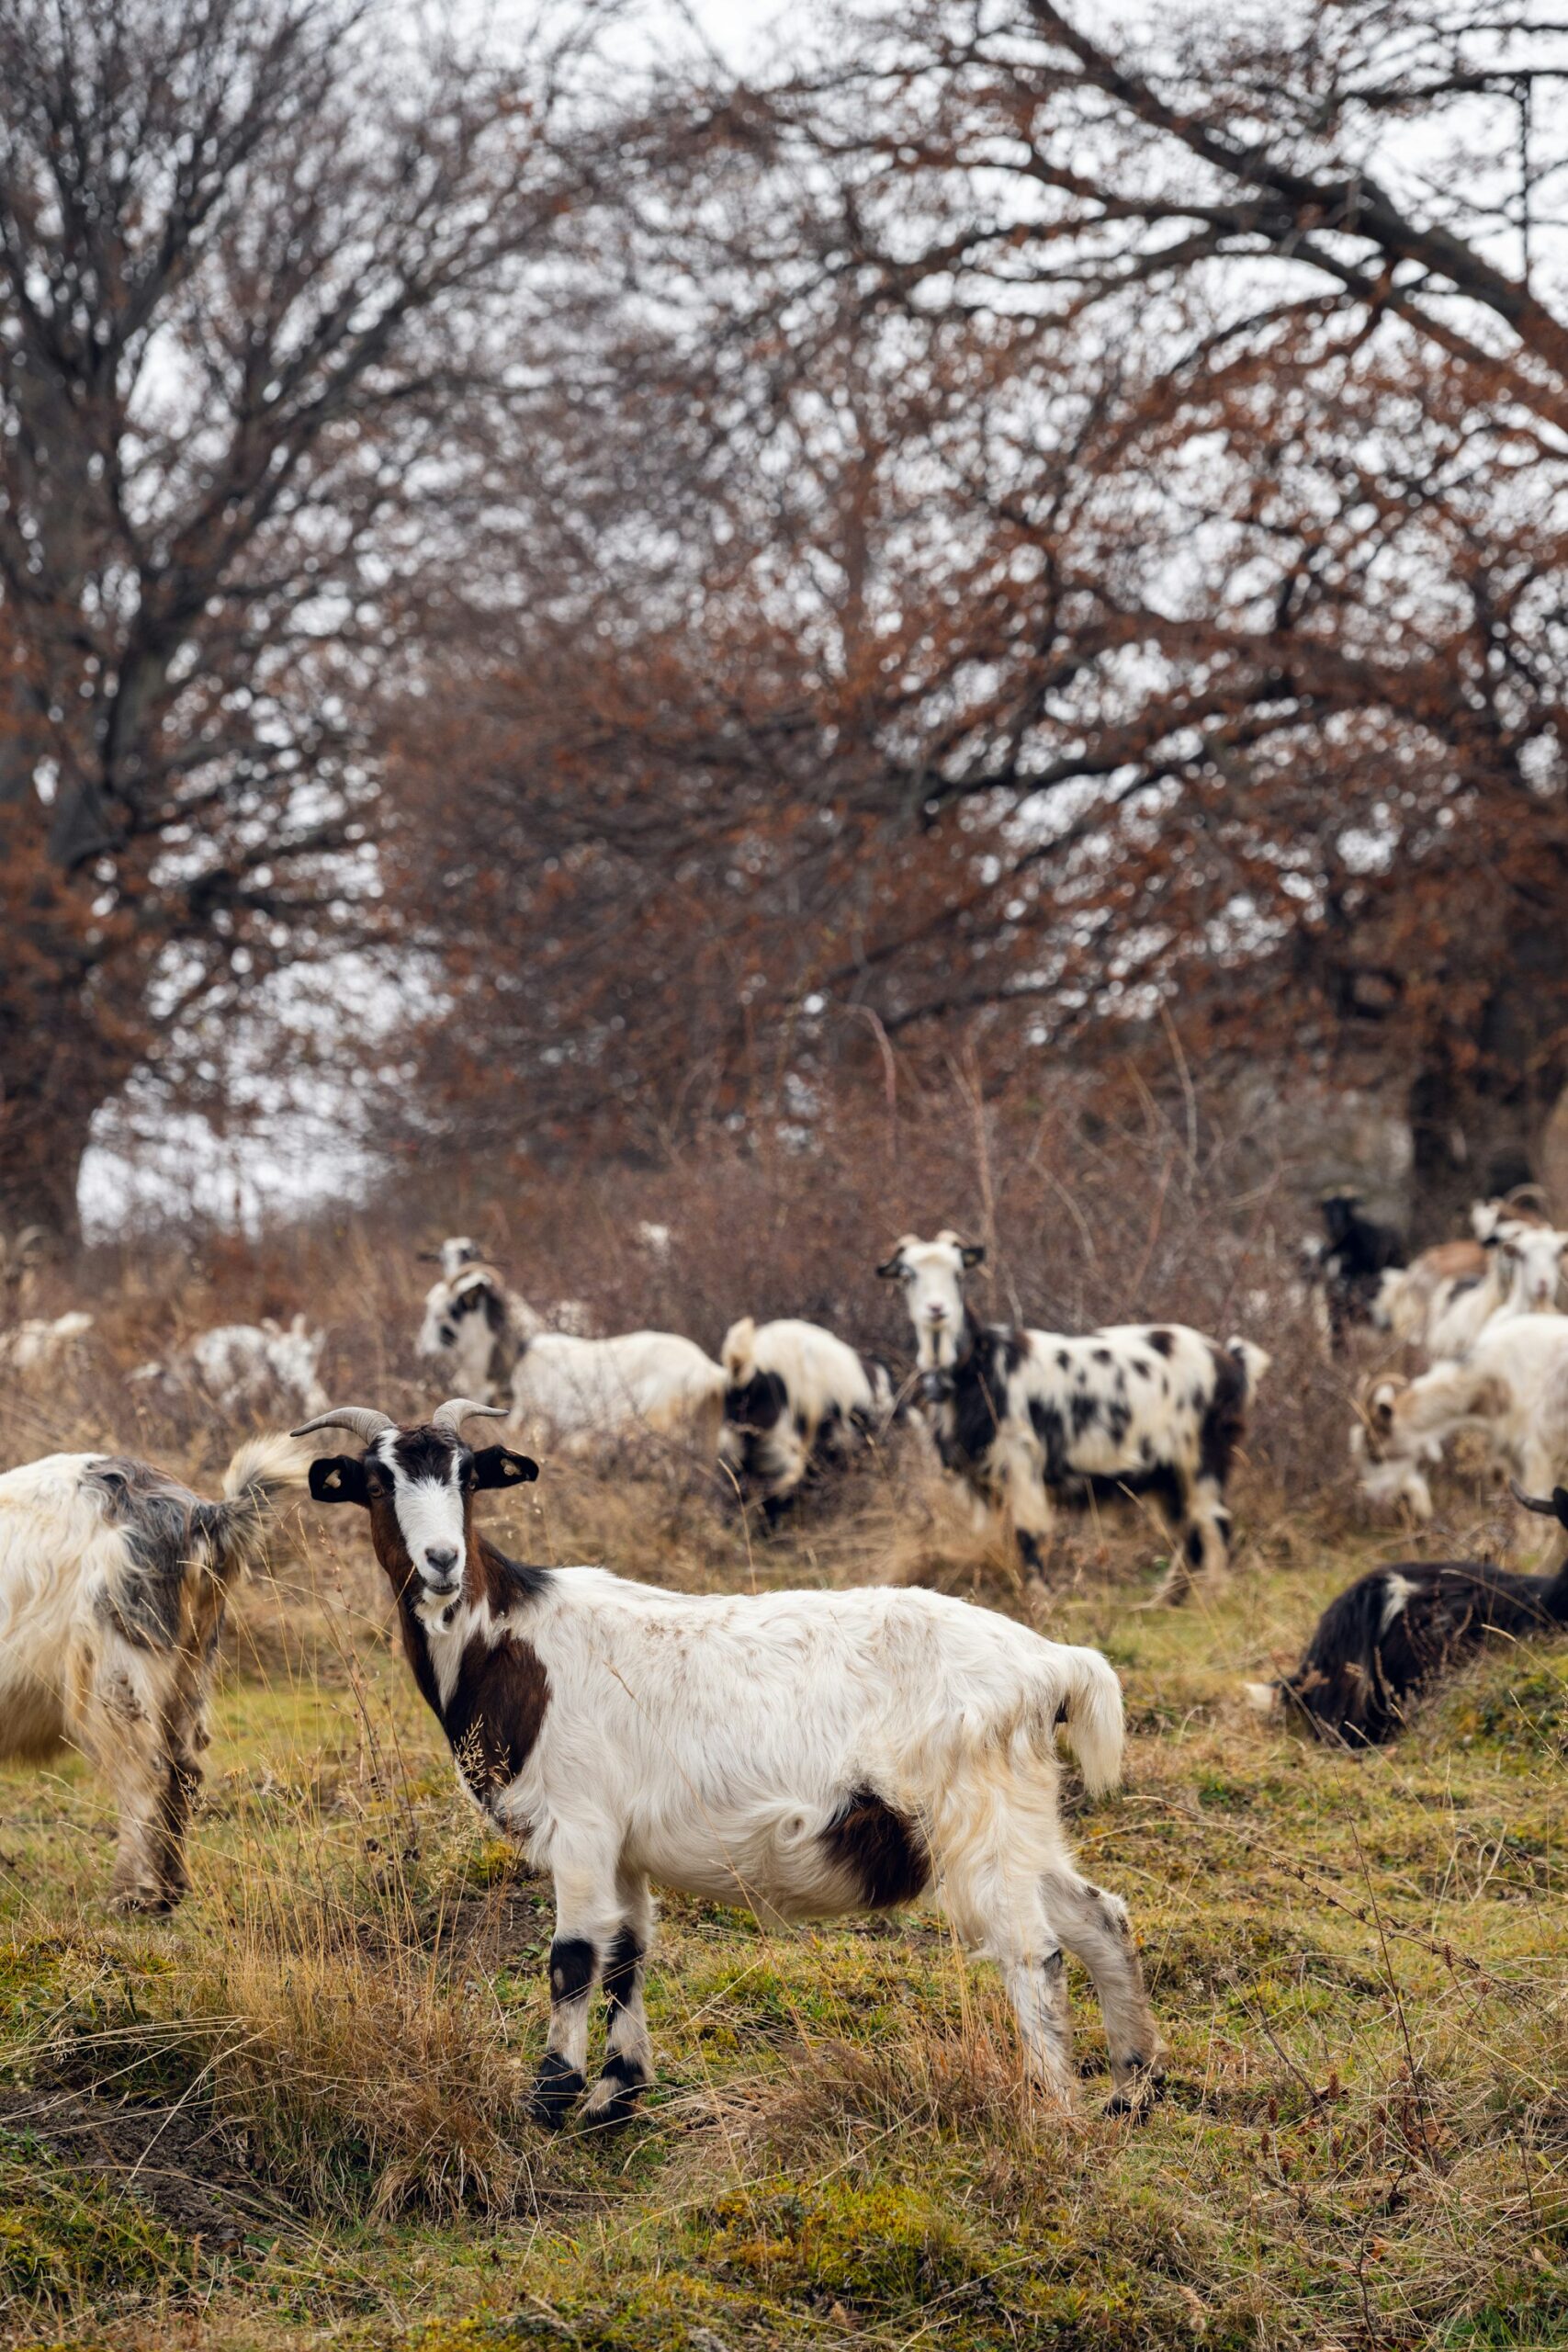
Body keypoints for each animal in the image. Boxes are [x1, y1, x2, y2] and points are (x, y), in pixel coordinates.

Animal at [0, 1430, 305, 1909]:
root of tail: (201, 1514)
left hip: (117, 1674)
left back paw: (132, 1894)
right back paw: (173, 1890)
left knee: (146, 1778)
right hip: (189, 1668)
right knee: (184, 1774)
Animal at [300, 1392, 1170, 2135]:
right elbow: (626, 1954)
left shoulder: (580, 1825)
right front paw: (615, 2097)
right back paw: (1130, 2089)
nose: (442, 1561)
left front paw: (549, 2100)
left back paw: (1050, 2104)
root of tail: (1049, 1662)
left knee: (1033, 1949)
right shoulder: (623, 1846)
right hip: (1018, 1816)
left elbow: (572, 1958)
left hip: (973, 1813)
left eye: (468, 1477)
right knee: (1098, 1917)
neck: (515, 1644)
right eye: (375, 1483)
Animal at [879, 1232, 1269, 1599]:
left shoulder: (1022, 1460)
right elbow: (987, 1538)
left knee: (1213, 1525)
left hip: (1202, 1458)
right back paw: (1168, 1600)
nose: (936, 1309)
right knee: (1191, 1535)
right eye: (907, 1275)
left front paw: (1041, 1603)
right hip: (1166, 1474)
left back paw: (1213, 1599)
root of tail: (1231, 1360)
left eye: (959, 1272)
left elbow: (1030, 1535)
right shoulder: (978, 1480)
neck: (978, 1366)